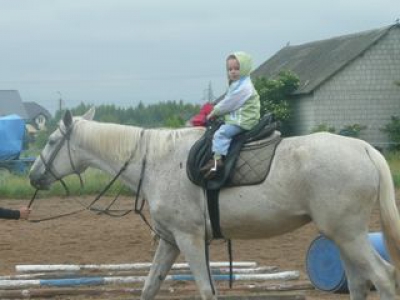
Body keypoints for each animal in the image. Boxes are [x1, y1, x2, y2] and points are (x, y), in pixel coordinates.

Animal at [29, 108, 400, 300]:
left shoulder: (190, 239)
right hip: (342, 237)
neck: (157, 160)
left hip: (348, 236)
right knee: (359, 283)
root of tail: (364, 148)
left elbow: (207, 291)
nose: (33, 176)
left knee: (383, 277)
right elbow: (149, 286)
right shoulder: (169, 241)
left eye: (51, 140)